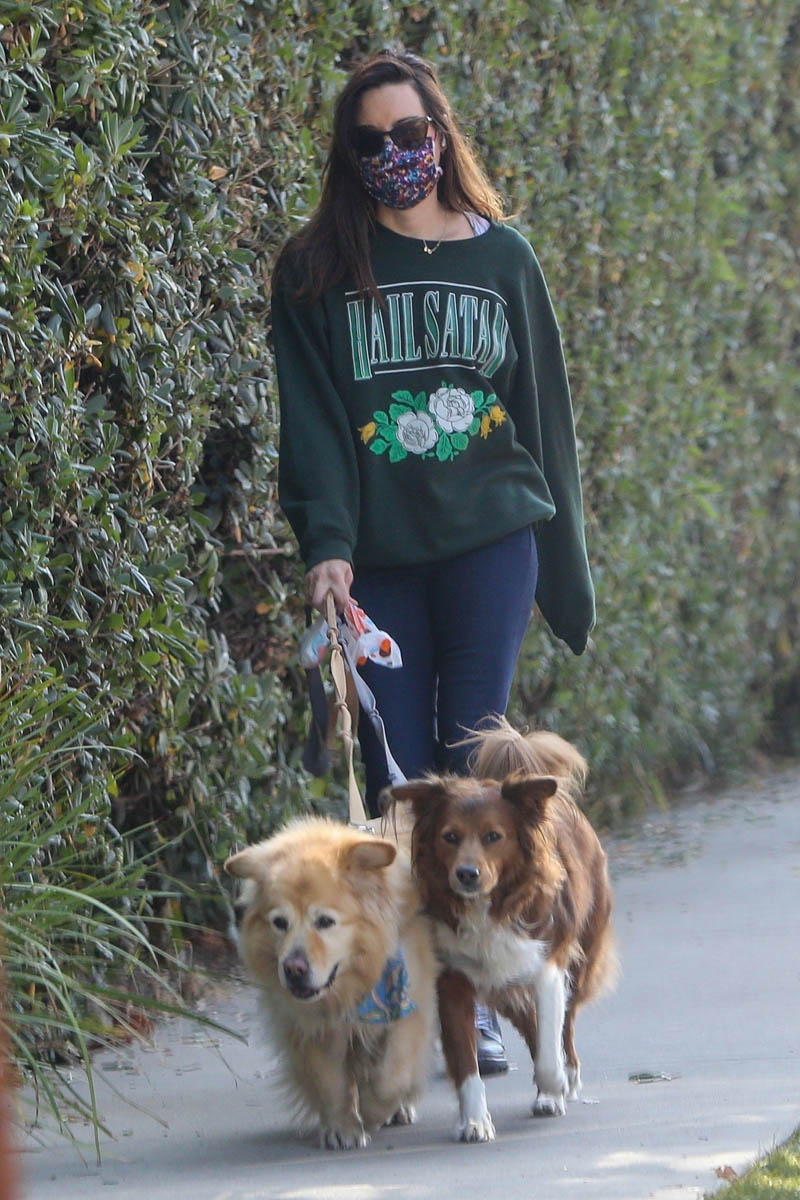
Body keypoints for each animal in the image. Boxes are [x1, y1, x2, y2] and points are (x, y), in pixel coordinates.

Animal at [224, 817, 436, 1149]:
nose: (293, 968)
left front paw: (373, 1111)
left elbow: (392, 1077)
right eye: (279, 923)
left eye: (325, 922)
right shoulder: (310, 1027)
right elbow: (330, 1083)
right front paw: (342, 1127)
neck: (349, 989)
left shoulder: (408, 1009)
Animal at [387, 717, 616, 1142]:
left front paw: (555, 1084)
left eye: (494, 836)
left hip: (580, 954)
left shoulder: (546, 965)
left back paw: (563, 1081)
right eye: (449, 837)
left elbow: (549, 1047)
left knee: (565, 1025)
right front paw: (474, 1120)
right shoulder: (452, 981)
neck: (488, 907)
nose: (466, 874)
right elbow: (466, 1063)